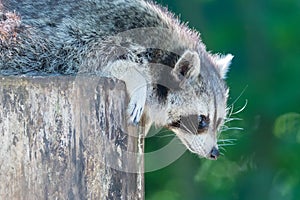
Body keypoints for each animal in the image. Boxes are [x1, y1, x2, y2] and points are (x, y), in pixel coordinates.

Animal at [0, 0, 233, 159]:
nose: (215, 152)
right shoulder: (85, 41)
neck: (160, 53)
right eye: (202, 120)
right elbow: (98, 63)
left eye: (218, 121)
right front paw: (135, 77)